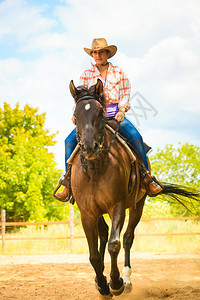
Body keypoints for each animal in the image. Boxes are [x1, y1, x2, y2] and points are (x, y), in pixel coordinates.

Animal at [68, 79, 199, 298]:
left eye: (101, 113)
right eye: (76, 115)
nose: (89, 147)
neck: (96, 168)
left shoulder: (118, 206)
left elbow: (114, 244)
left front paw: (116, 283)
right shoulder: (87, 212)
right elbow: (93, 255)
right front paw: (102, 285)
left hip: (138, 205)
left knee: (128, 237)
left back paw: (127, 280)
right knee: (104, 235)